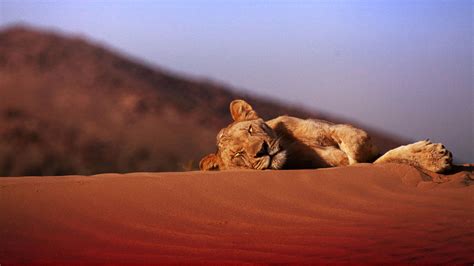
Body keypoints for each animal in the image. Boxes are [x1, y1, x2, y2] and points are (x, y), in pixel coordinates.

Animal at [199, 99, 452, 172]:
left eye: (250, 130)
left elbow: (357, 145)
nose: (262, 149)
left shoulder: (330, 127)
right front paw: (433, 156)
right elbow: (377, 161)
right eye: (239, 154)